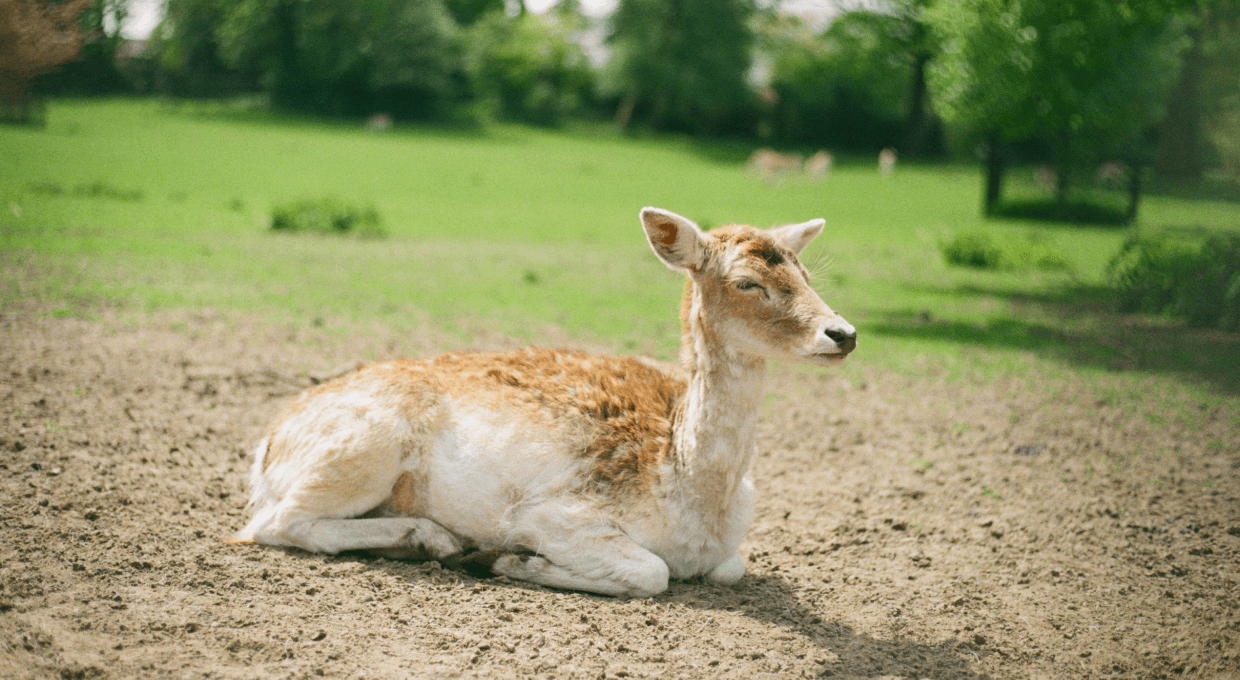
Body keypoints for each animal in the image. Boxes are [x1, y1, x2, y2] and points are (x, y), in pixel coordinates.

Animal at [229, 207, 857, 597]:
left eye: (805, 272)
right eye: (748, 282)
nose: (843, 333)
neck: (690, 492)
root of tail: (268, 445)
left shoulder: (728, 551)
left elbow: (733, 565)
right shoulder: (550, 512)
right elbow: (650, 571)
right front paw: (511, 560)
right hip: (366, 448)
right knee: (274, 523)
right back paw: (438, 540)